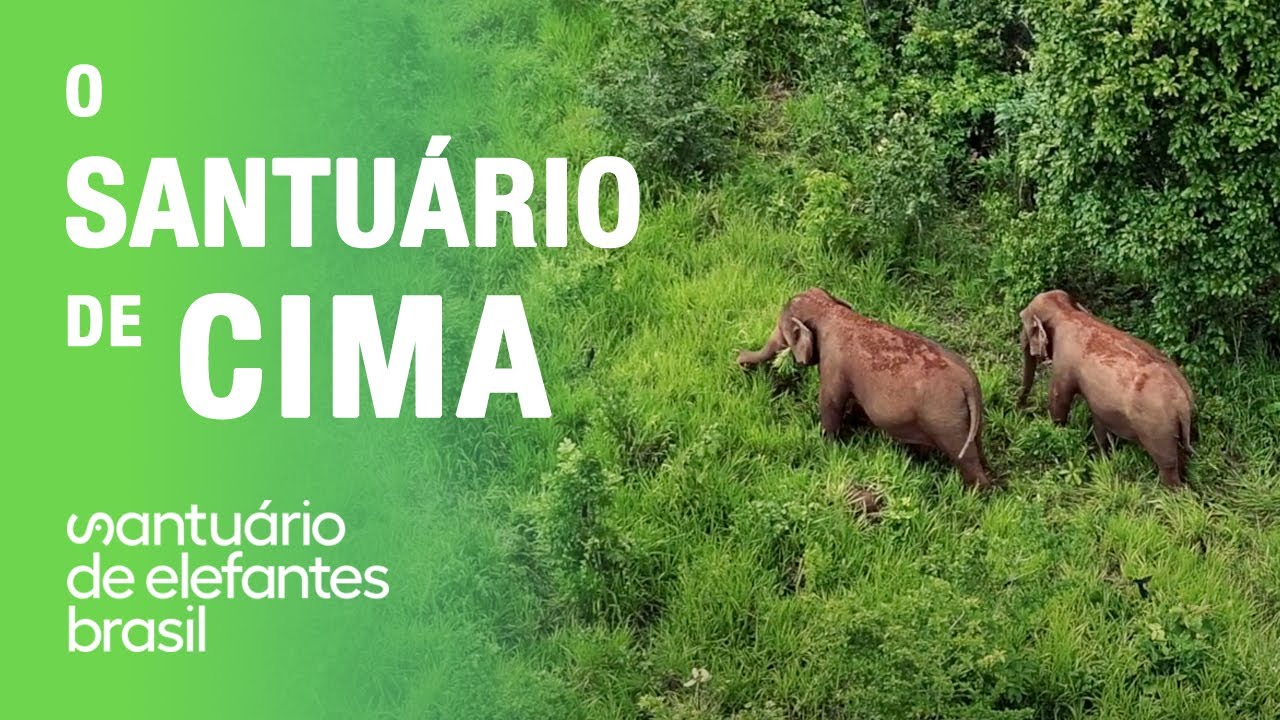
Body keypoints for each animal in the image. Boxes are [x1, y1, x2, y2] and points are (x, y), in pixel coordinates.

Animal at [738, 288, 994, 490]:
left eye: (782, 331)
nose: (738, 359)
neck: (831, 310)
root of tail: (968, 384)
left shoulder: (834, 362)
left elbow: (830, 401)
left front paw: (827, 446)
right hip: (969, 419)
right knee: (977, 447)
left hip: (945, 421)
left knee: (964, 458)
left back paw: (975, 496)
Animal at [1016, 289, 1195, 489]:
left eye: (1023, 323)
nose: (1021, 408)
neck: (1067, 311)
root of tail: (1183, 402)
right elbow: (1099, 420)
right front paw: (1102, 459)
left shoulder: (1064, 361)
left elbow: (1059, 397)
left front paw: (1056, 431)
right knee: (1181, 457)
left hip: (1158, 429)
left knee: (1167, 465)